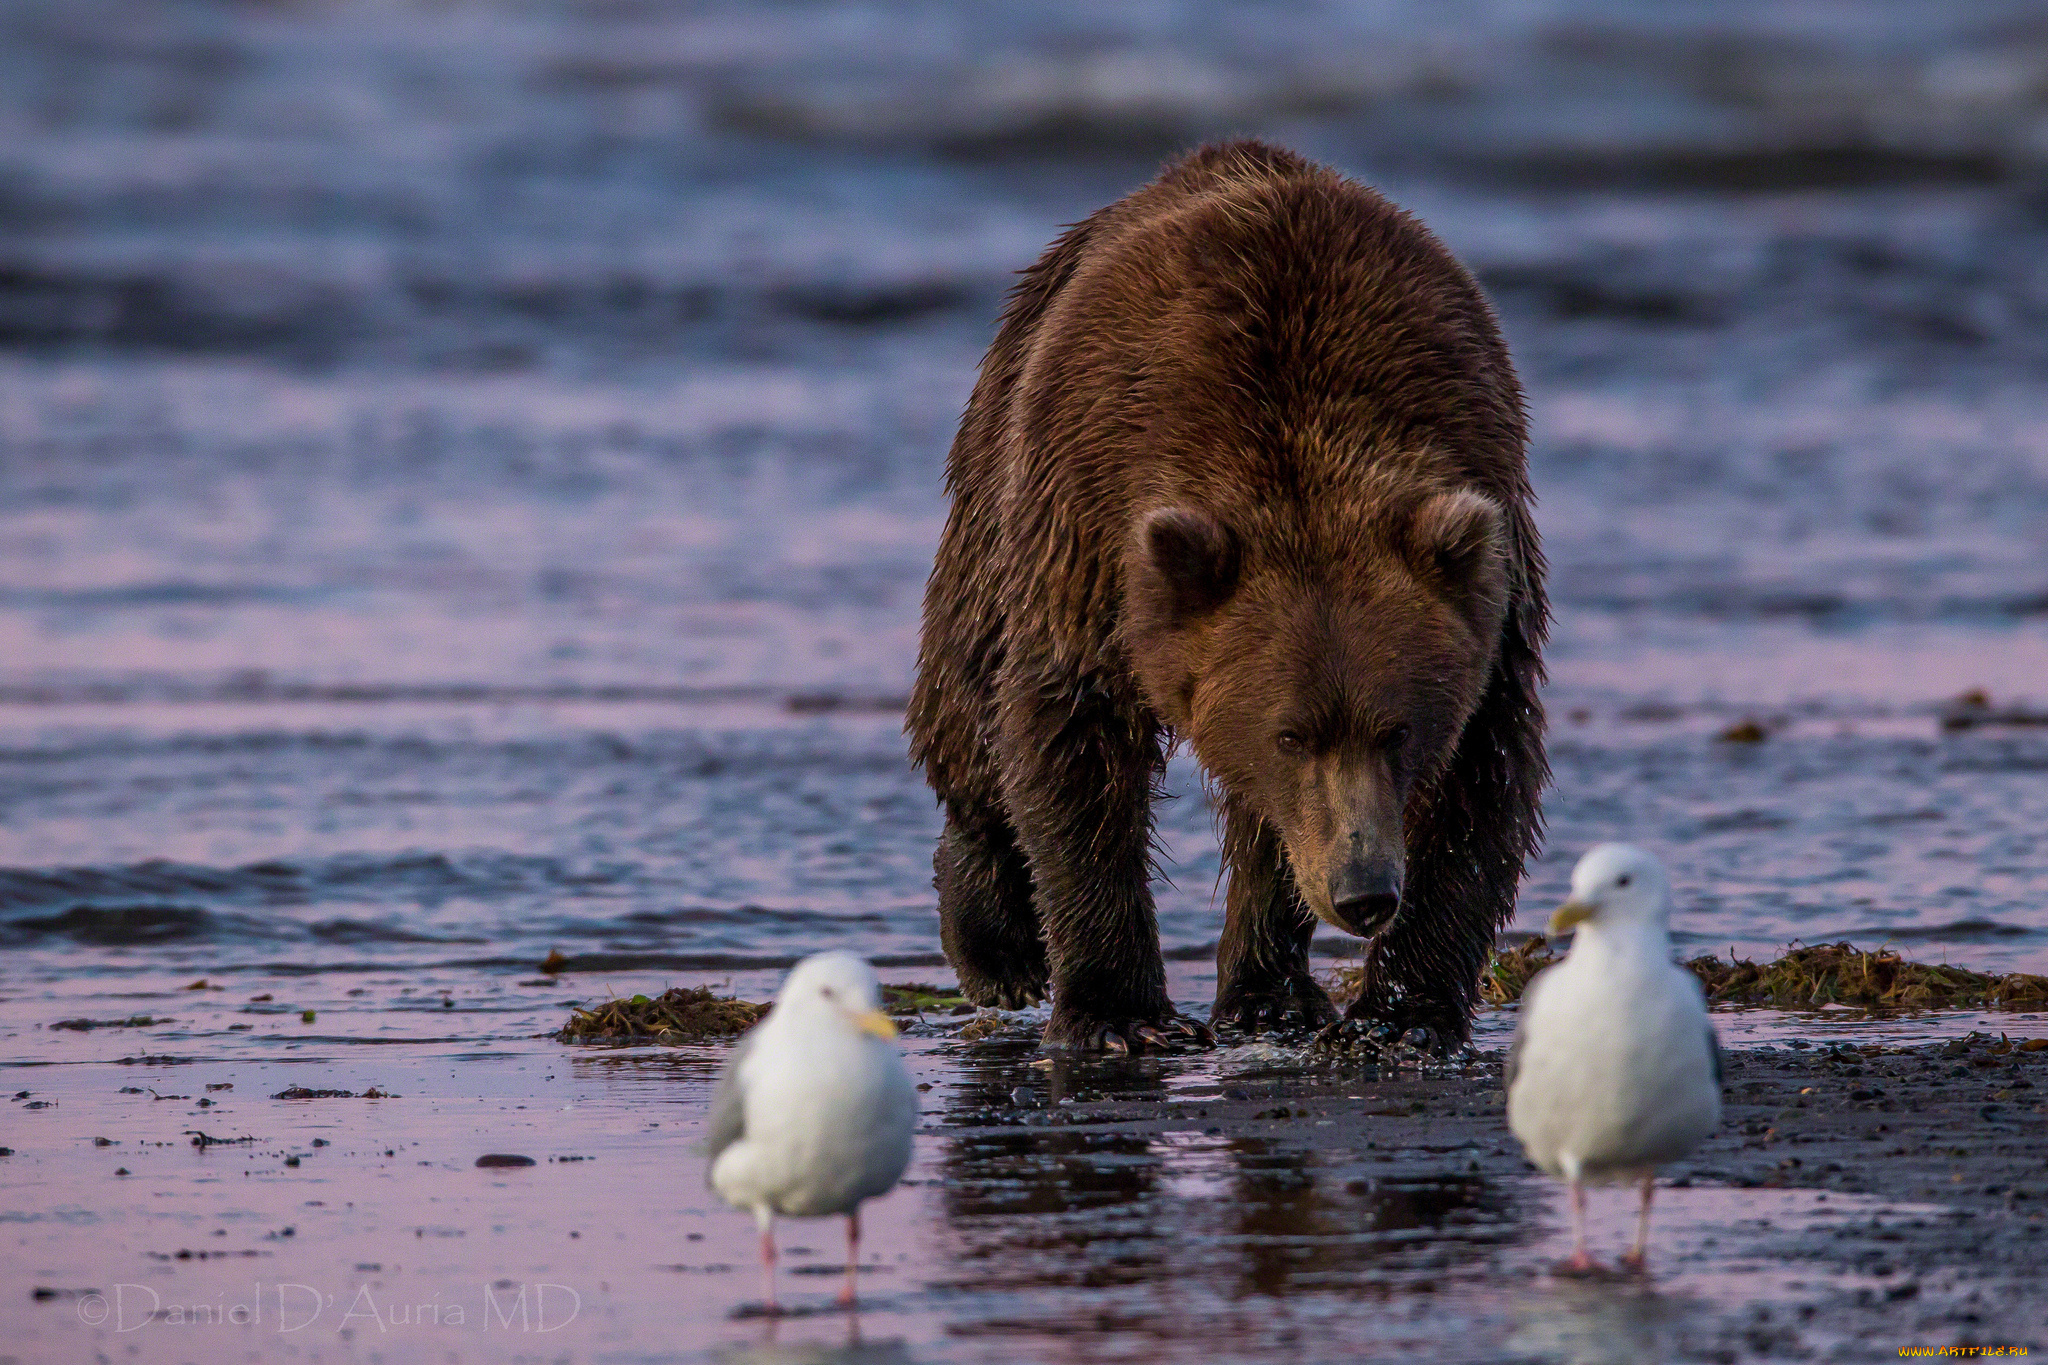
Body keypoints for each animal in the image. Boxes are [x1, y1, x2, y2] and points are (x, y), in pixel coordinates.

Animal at [905, 141, 1540, 1055]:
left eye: (1397, 729)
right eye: (1290, 733)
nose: (1364, 891)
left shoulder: (1490, 570)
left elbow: (1481, 773)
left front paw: (1401, 1014)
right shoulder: (1091, 523)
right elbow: (1072, 738)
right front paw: (1118, 1012)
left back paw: (1270, 993)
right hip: (998, 459)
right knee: (968, 693)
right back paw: (998, 945)